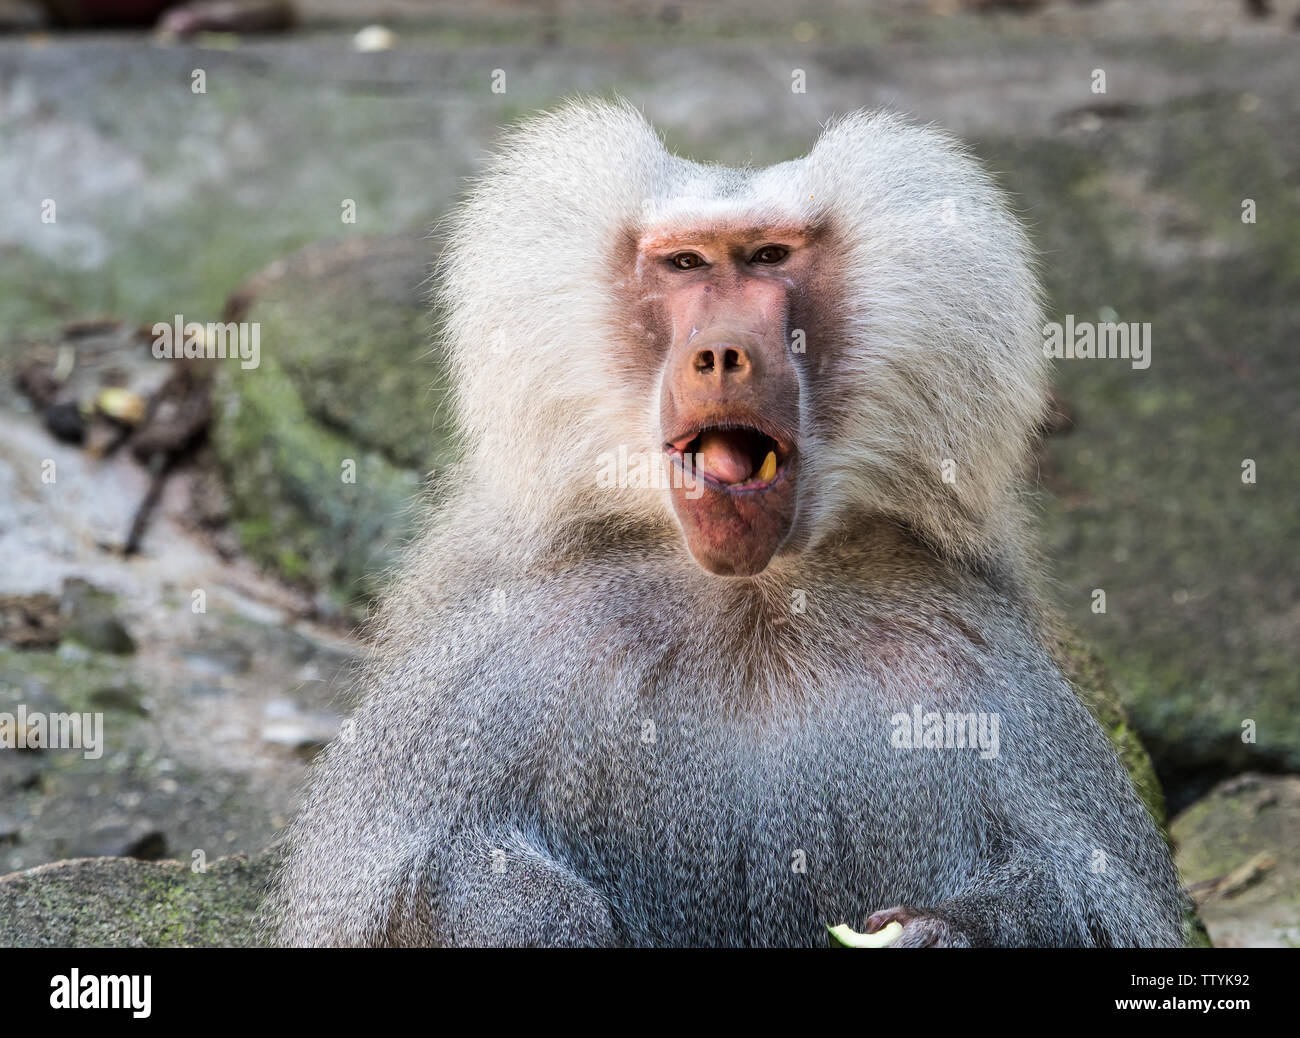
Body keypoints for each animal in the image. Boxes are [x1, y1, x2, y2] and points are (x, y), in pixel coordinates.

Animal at [270, 99, 1187, 947]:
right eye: (685, 263)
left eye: (768, 257)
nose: (719, 354)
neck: (757, 604)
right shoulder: (503, 661)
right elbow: (390, 893)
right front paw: (539, 918)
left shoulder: (970, 672)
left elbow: (1104, 904)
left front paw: (946, 932)